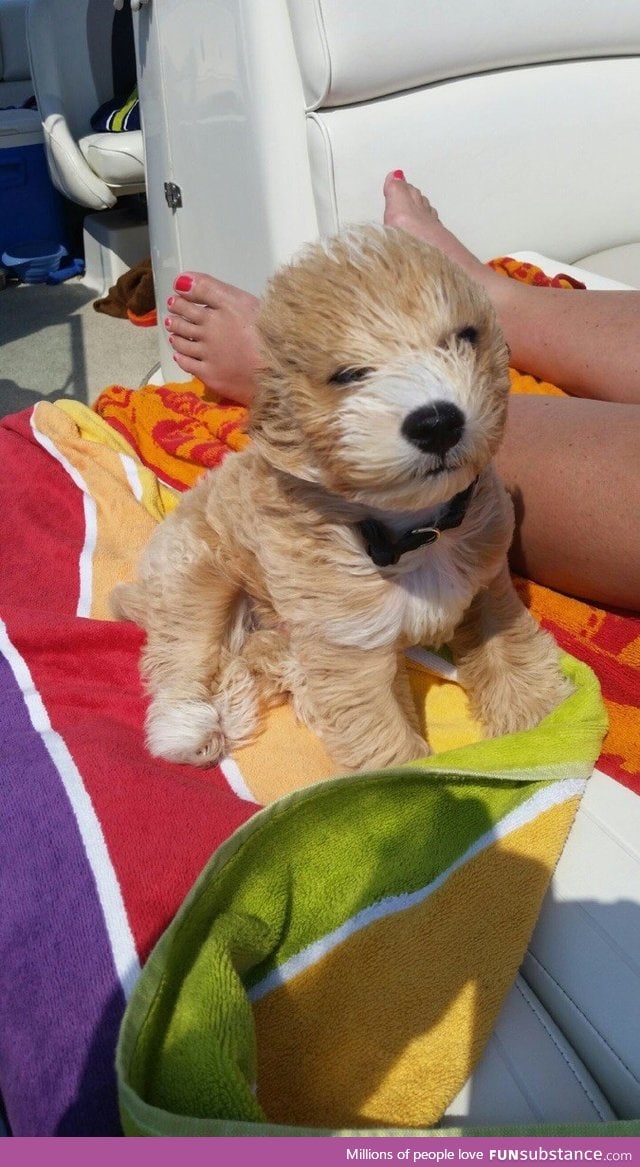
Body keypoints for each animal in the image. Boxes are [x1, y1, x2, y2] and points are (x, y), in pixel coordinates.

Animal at [113, 227, 569, 774]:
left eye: (464, 338)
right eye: (349, 375)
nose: (438, 421)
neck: (414, 529)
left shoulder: (487, 584)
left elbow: (507, 651)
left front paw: (539, 721)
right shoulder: (351, 650)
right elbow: (385, 741)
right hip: (197, 578)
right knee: (181, 656)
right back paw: (187, 729)